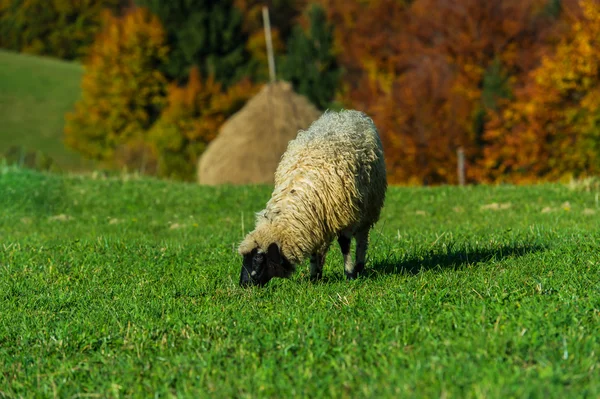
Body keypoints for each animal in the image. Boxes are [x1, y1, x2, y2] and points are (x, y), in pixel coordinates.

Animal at [237, 108, 386, 288]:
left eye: (258, 258)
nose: (243, 284)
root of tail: (346, 114)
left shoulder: (345, 217)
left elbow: (345, 245)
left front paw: (349, 273)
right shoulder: (315, 223)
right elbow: (316, 249)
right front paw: (314, 276)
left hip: (369, 206)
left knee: (362, 237)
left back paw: (359, 266)